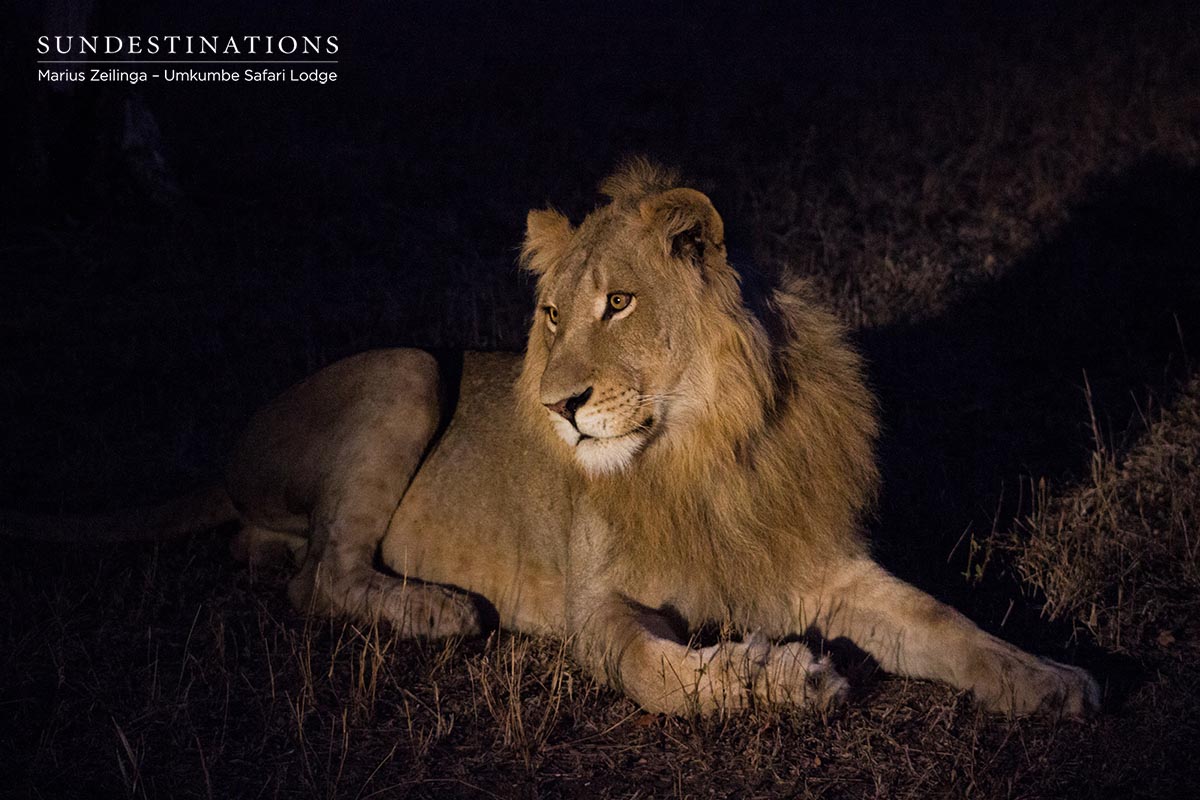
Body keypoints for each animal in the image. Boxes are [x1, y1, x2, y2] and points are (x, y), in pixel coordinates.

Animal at [5, 159, 1099, 717]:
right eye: (551, 314)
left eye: (620, 304)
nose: (558, 405)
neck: (705, 450)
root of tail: (229, 463)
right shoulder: (593, 603)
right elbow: (662, 676)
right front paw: (782, 676)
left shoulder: (816, 562)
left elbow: (945, 622)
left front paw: (1054, 681)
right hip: (406, 367)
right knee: (320, 576)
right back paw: (439, 608)